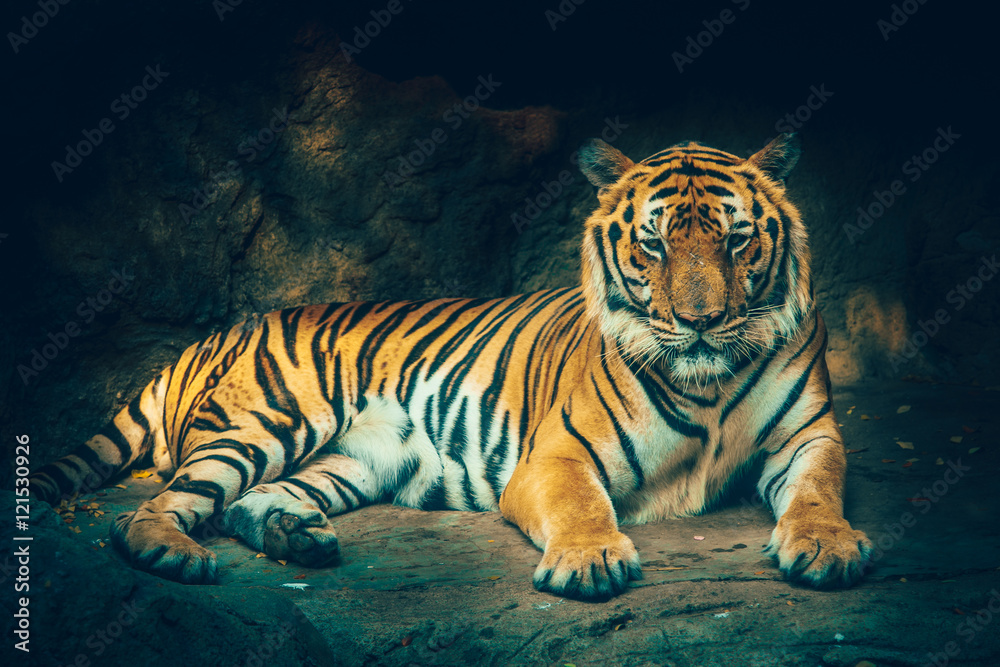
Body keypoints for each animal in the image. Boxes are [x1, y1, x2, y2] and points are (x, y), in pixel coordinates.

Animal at [29, 132, 874, 600]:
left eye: (736, 240)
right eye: (654, 243)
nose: (700, 322)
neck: (709, 383)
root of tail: (219, 332)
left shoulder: (810, 435)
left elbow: (819, 490)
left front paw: (827, 545)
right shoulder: (554, 456)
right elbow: (583, 505)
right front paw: (590, 559)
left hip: (352, 460)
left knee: (246, 503)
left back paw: (300, 540)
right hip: (267, 422)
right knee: (152, 510)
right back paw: (177, 553)